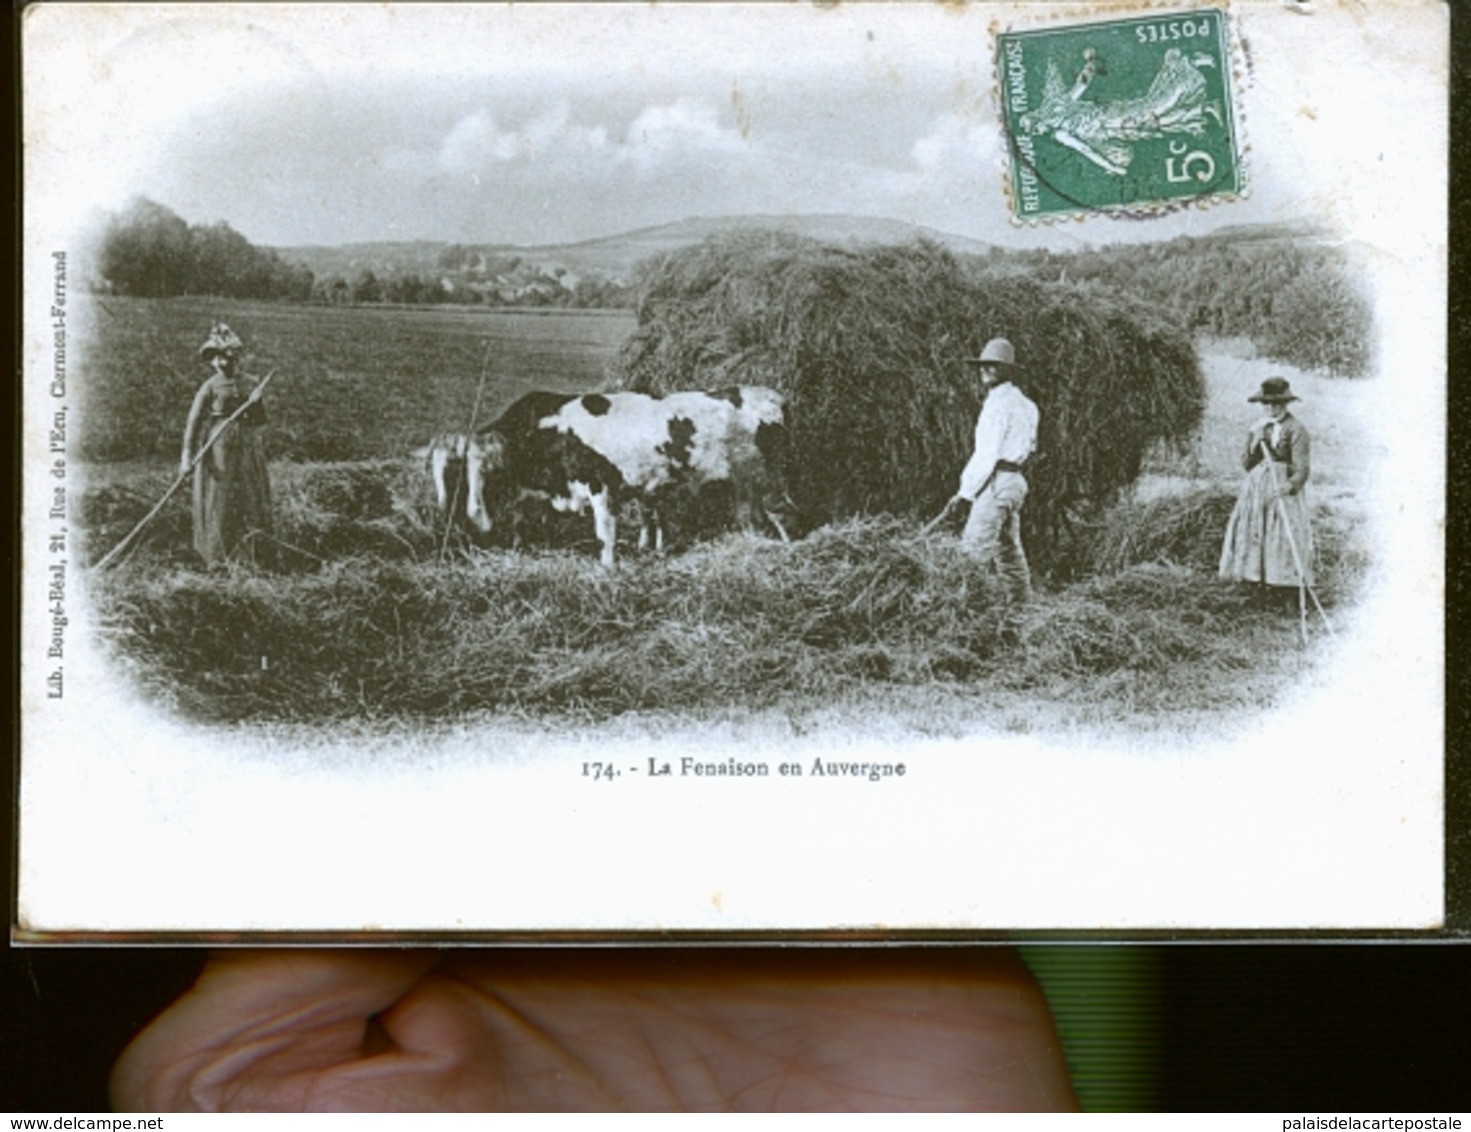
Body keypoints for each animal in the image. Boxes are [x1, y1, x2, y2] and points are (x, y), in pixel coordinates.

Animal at [426, 388, 794, 564]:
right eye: (440, 477)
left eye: (476, 473)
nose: (446, 519)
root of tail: (772, 395)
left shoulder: (601, 486)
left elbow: (605, 533)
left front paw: (607, 569)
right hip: (746, 485)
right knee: (751, 516)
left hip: (772, 479)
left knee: (782, 515)